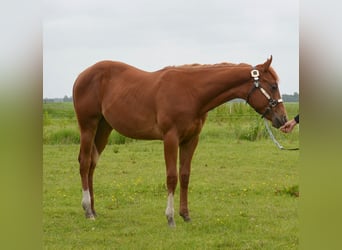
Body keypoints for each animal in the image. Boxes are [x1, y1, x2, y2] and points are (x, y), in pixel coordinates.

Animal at [73, 56, 288, 227]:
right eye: (273, 86)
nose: (283, 119)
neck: (191, 92)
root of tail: (82, 76)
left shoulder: (191, 140)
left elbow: (184, 176)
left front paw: (185, 215)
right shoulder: (171, 138)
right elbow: (172, 177)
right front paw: (170, 218)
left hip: (103, 129)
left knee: (92, 164)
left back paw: (93, 209)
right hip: (88, 127)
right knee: (84, 163)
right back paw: (87, 210)